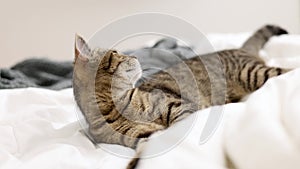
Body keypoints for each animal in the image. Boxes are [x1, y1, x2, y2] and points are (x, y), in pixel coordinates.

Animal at [72, 25, 288, 169]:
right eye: (116, 52)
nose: (134, 56)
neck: (117, 108)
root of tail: (239, 48)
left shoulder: (177, 106)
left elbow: (176, 126)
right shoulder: (142, 135)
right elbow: (145, 147)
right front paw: (134, 162)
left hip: (252, 73)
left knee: (286, 70)